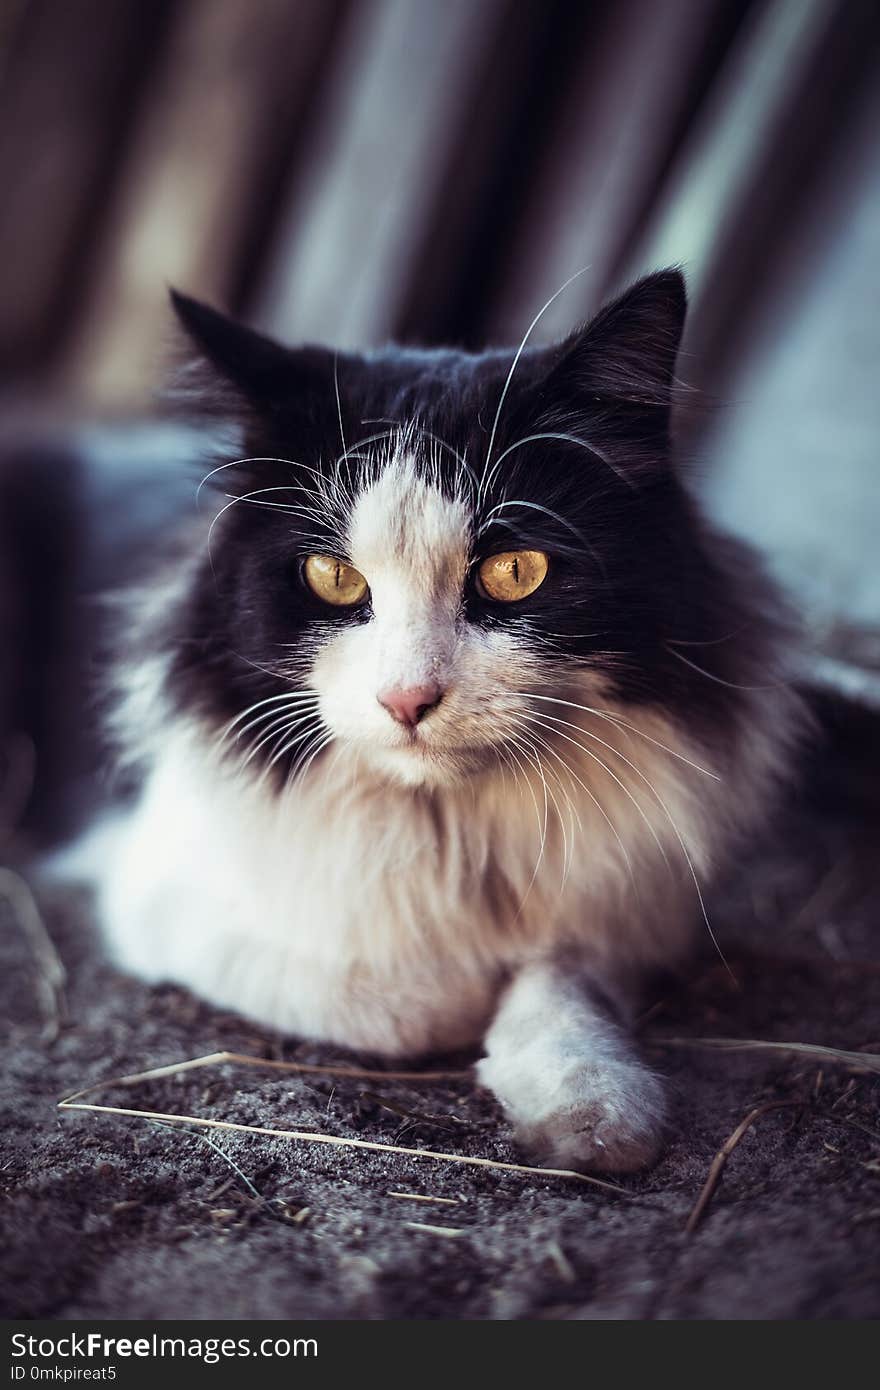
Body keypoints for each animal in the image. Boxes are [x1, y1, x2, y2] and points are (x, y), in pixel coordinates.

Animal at [85, 271, 800, 1173]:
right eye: (330, 577)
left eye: (515, 571)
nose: (407, 700)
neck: (453, 826)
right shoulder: (149, 888)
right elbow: (394, 995)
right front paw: (469, 991)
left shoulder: (626, 902)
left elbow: (564, 981)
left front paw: (592, 1114)